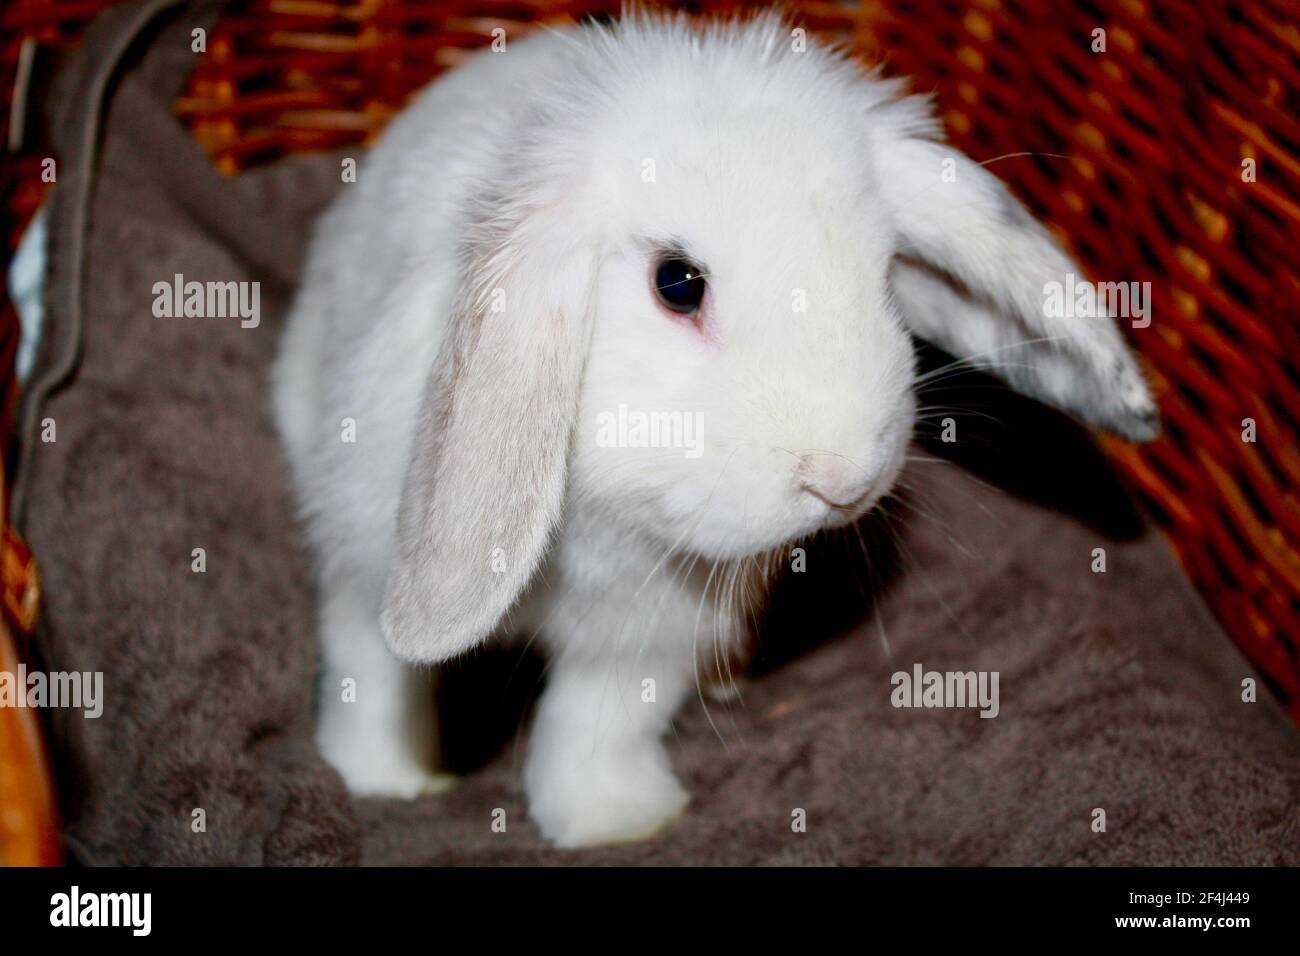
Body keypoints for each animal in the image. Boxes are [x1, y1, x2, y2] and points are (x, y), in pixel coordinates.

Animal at [272, 11, 1158, 848]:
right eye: (677, 283)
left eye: (886, 275)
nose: (843, 480)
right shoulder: (362, 565)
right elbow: (374, 674)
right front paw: (383, 783)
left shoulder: (647, 643)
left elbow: (595, 727)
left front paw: (612, 822)